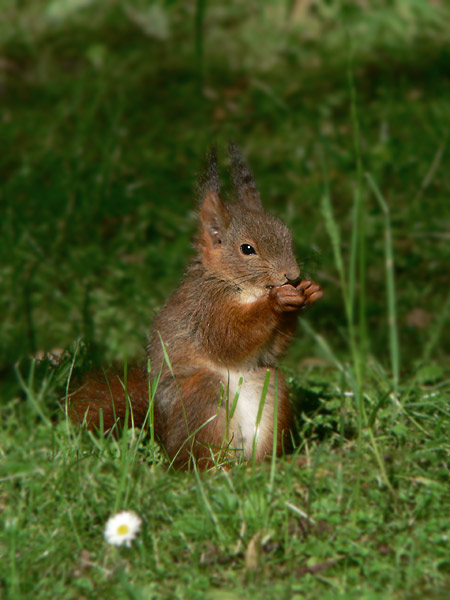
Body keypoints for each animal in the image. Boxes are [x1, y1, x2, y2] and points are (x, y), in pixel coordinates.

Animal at [70, 144, 322, 468]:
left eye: (287, 234)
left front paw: (308, 291)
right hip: (203, 399)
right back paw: (214, 470)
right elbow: (228, 338)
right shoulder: (205, 309)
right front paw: (277, 301)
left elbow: (272, 349)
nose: (292, 275)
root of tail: (166, 439)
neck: (239, 286)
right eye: (247, 249)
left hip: (270, 387)